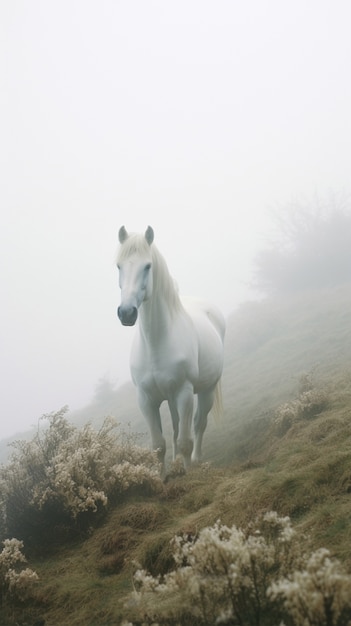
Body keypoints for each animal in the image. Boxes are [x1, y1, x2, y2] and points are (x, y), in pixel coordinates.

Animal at [115, 227, 226, 470]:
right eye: (118, 266)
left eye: (148, 266)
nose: (126, 313)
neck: (156, 344)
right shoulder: (146, 400)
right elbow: (158, 446)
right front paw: (163, 476)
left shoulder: (184, 393)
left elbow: (185, 441)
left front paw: (188, 472)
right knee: (176, 427)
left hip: (206, 390)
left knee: (198, 424)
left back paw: (196, 459)